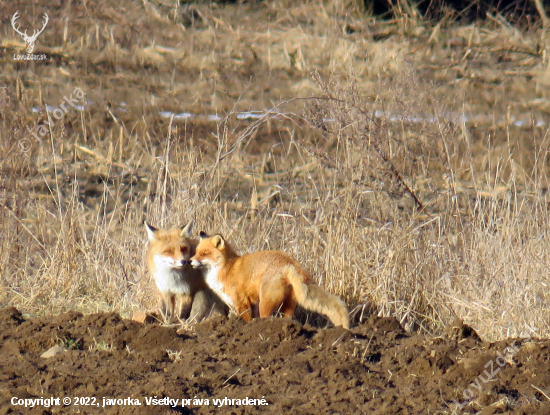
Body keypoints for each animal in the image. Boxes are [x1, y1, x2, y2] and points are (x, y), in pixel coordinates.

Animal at [190, 232, 352, 330]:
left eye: (204, 254)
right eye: (196, 252)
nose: (189, 261)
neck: (227, 269)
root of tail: (291, 263)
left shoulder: (241, 302)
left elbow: (247, 319)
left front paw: (246, 329)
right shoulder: (251, 303)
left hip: (265, 303)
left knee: (266, 318)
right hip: (288, 303)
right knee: (288, 318)